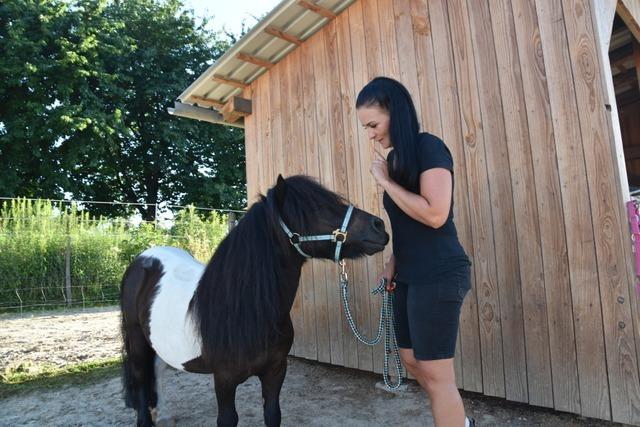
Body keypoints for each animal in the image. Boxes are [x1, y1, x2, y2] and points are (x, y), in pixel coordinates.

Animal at [122, 176, 388, 426]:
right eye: (316, 208)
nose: (380, 226)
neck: (246, 309)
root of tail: (143, 259)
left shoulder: (275, 371)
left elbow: (272, 414)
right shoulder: (224, 379)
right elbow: (228, 419)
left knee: (158, 370)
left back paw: (163, 414)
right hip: (136, 340)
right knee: (140, 378)